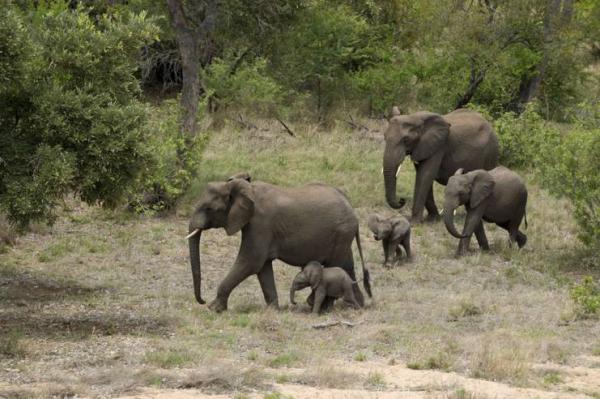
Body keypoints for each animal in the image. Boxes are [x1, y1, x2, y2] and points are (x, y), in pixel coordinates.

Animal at [185, 173, 370, 314]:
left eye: (209, 209)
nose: (202, 300)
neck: (246, 187)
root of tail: (350, 205)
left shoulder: (260, 223)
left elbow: (250, 262)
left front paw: (214, 309)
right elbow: (263, 267)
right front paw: (273, 310)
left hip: (341, 233)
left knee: (338, 265)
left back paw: (332, 309)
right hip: (342, 236)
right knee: (347, 265)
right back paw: (354, 306)